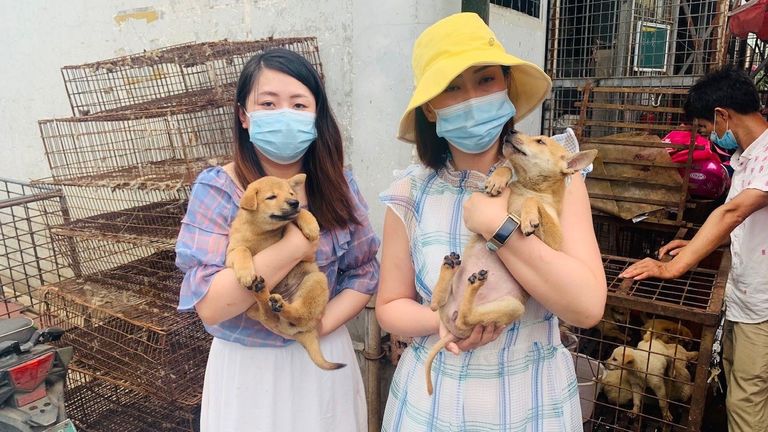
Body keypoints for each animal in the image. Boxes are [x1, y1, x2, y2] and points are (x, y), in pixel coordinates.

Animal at [225, 174, 344, 370]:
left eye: (291, 193)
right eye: (271, 197)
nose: (294, 202)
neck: (262, 233)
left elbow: (301, 213)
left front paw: (311, 226)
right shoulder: (231, 254)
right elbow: (243, 250)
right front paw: (245, 274)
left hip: (315, 280)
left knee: (298, 314)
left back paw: (279, 303)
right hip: (253, 310)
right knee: (270, 315)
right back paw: (261, 291)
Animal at [426, 132, 600, 394]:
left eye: (540, 141)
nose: (510, 133)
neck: (531, 186)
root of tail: (452, 329)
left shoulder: (555, 243)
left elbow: (533, 204)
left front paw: (529, 217)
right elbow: (508, 168)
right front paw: (497, 180)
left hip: (511, 306)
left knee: (463, 314)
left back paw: (473, 284)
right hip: (461, 300)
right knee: (436, 304)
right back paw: (451, 266)